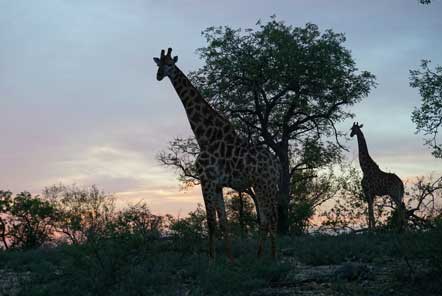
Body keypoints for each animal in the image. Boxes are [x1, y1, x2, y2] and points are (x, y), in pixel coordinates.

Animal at [154, 48, 280, 260]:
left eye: (170, 64)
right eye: (158, 64)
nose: (159, 75)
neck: (204, 136)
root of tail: (275, 162)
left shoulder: (206, 179)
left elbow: (211, 222)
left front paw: (211, 260)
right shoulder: (218, 184)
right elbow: (224, 222)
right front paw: (229, 259)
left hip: (265, 183)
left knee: (269, 217)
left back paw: (268, 258)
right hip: (261, 184)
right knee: (267, 217)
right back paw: (264, 255)